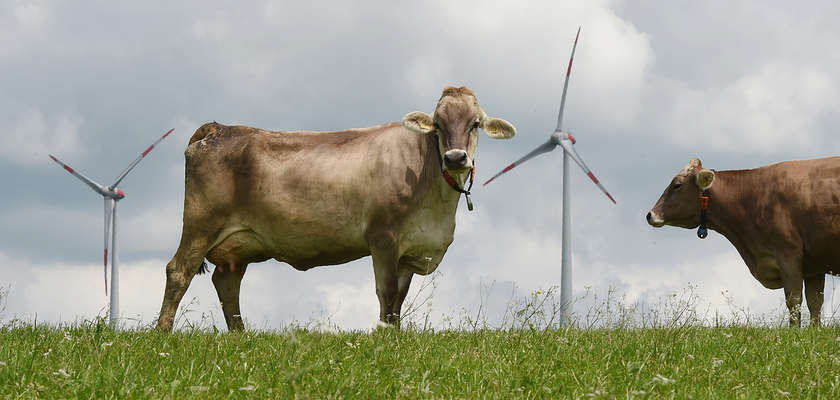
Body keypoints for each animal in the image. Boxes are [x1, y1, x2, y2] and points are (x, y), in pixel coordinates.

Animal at [154, 85, 516, 332]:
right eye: (438, 124)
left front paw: (395, 335)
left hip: (239, 243)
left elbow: (398, 300)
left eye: (475, 123)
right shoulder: (383, 238)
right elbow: (386, 293)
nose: (455, 158)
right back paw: (162, 334)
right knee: (179, 271)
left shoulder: (411, 250)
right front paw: (384, 337)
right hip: (201, 223)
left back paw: (241, 336)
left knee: (227, 282)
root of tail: (219, 128)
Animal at [648, 158, 840, 326]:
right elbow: (815, 302)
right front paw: (814, 331)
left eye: (677, 185)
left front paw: (794, 333)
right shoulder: (814, 264)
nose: (650, 215)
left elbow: (793, 300)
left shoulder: (788, 253)